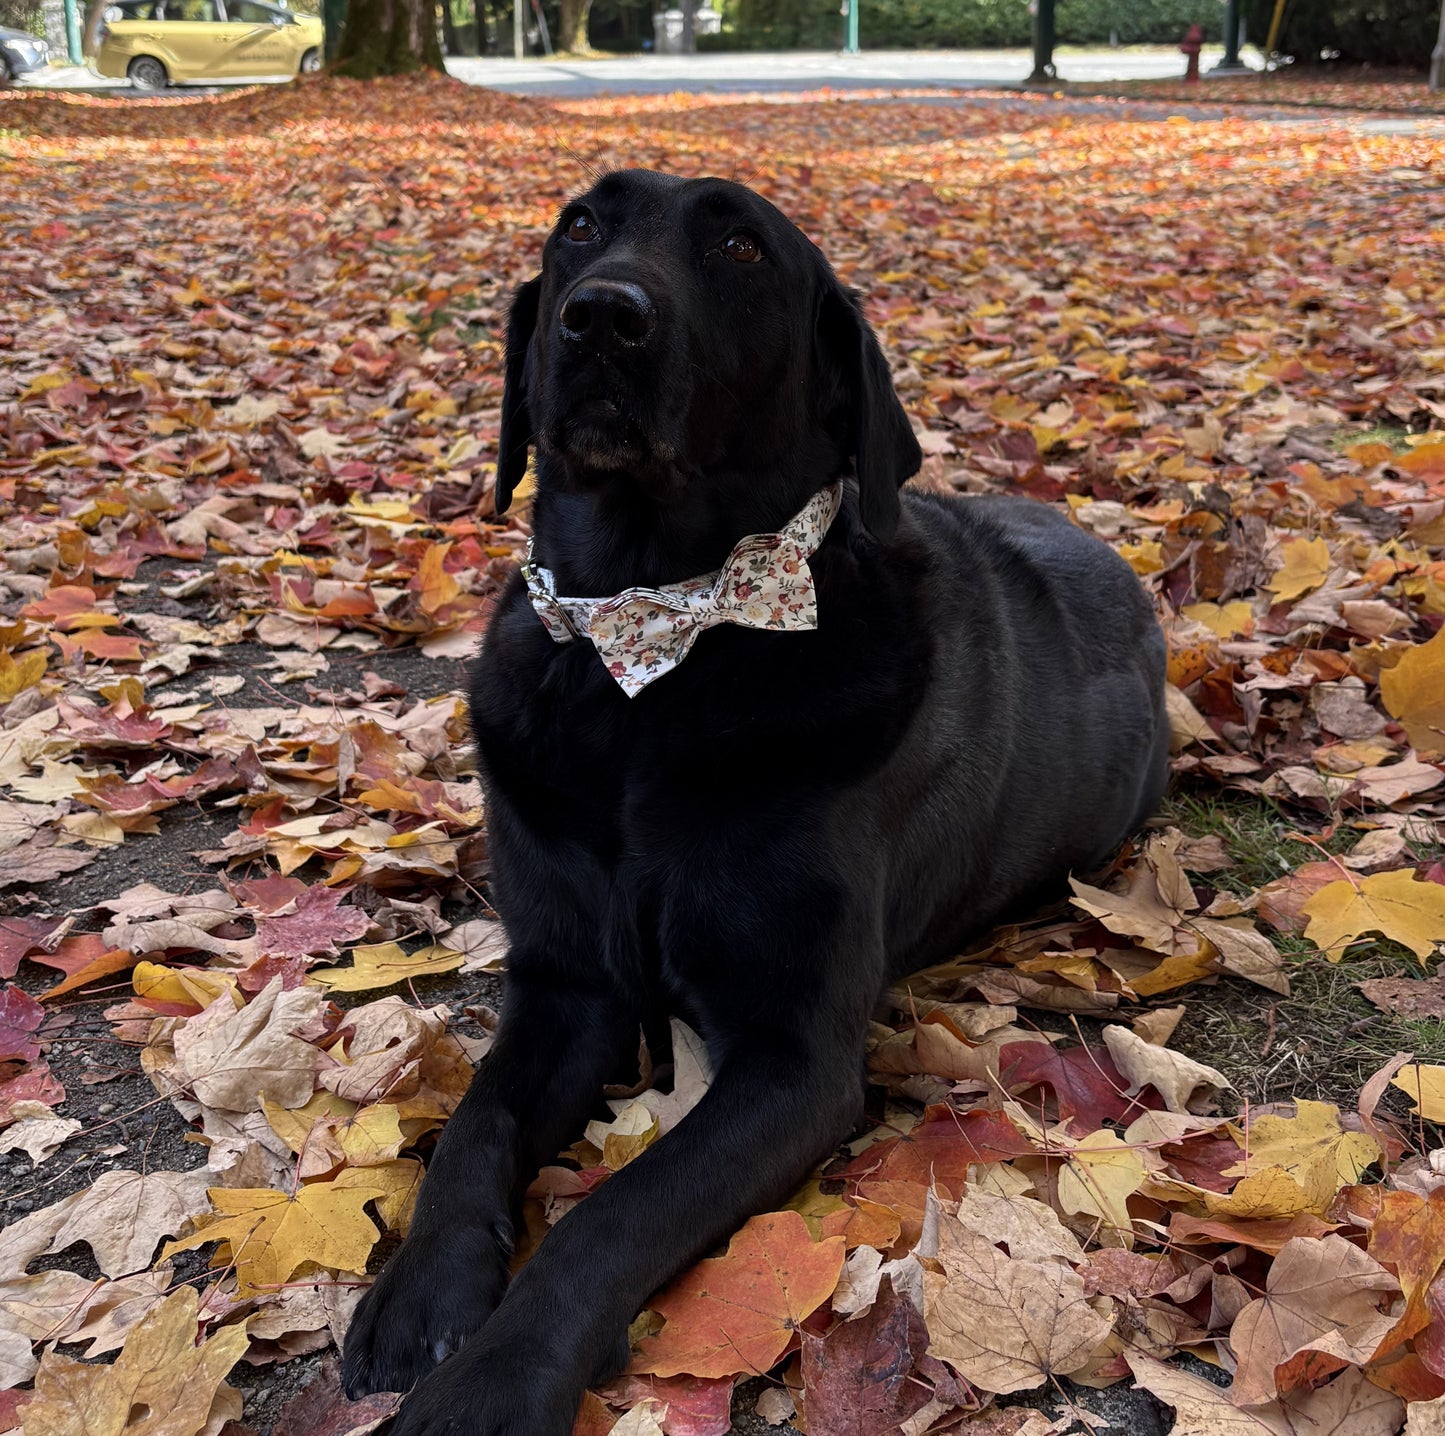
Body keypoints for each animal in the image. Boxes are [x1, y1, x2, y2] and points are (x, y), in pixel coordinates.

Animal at [343, 170, 1167, 1433]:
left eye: (739, 247)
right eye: (578, 226)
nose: (600, 317)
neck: (647, 645)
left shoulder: (792, 1060)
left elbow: (611, 1211)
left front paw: (490, 1380)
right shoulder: (564, 979)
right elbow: (474, 1119)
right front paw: (422, 1288)